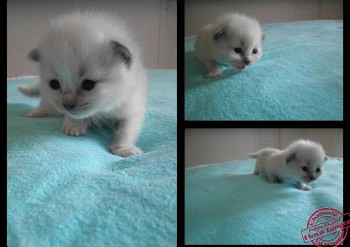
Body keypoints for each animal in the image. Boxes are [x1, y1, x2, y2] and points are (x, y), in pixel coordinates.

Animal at [18, 11, 147, 156]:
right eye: (54, 84)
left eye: (88, 84)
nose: (67, 105)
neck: (102, 109)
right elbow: (74, 116)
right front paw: (73, 126)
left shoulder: (132, 106)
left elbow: (126, 130)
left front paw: (123, 149)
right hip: (49, 101)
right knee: (46, 106)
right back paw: (34, 113)